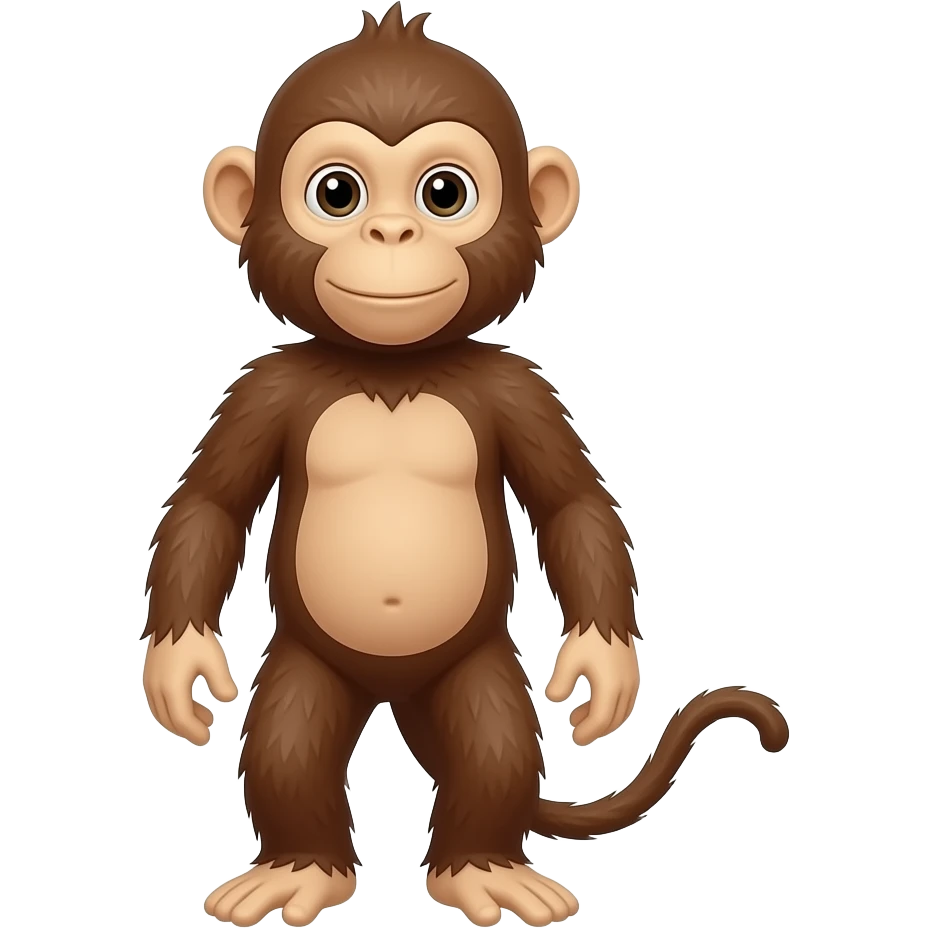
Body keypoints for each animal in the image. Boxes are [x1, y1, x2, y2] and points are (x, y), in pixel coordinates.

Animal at [142, 5, 791, 927]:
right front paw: (180, 667)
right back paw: (302, 867)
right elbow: (211, 503)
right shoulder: (263, 388)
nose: (390, 232)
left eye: (443, 192)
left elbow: (570, 504)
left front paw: (602, 669)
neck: (392, 368)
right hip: (311, 659)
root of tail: (396, 690)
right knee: (287, 740)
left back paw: (480, 866)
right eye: (336, 193)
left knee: (493, 741)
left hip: (472, 662)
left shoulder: (518, 389)